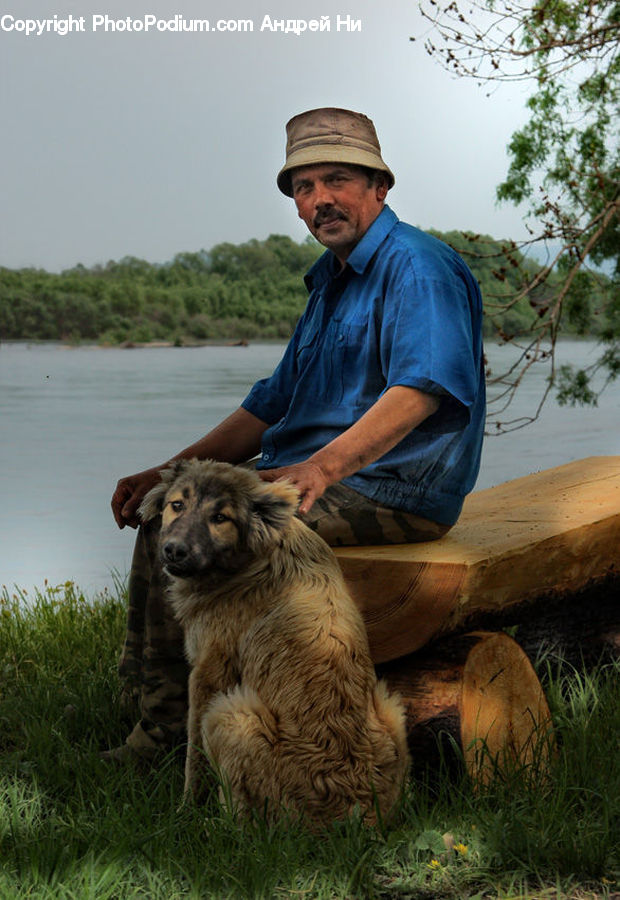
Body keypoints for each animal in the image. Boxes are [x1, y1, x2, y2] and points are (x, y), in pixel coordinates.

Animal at [141, 460, 412, 828]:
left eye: (220, 518)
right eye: (177, 505)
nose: (173, 550)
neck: (252, 560)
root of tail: (353, 815)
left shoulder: (208, 674)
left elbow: (193, 755)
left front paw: (186, 810)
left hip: (230, 715)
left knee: (244, 821)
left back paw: (217, 828)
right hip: (390, 708)